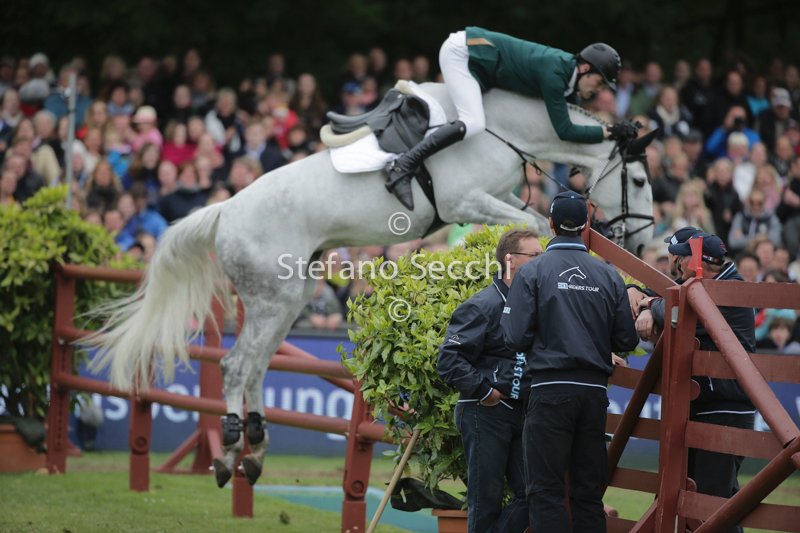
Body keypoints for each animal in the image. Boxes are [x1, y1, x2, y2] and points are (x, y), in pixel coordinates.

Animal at [87, 82, 656, 487]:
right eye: (640, 181)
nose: (640, 240)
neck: (500, 127)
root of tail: (226, 209)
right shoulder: (467, 201)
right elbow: (529, 226)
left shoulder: (499, 198)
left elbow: (531, 222)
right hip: (273, 298)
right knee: (235, 366)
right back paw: (229, 455)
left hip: (289, 297)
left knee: (255, 366)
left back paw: (256, 451)